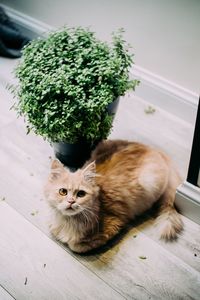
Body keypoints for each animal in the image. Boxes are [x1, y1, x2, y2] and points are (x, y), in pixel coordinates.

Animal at [44, 139, 184, 252]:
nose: (71, 201)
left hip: (150, 182)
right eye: (63, 192)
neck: (67, 221)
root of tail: (153, 149)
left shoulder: (114, 223)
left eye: (81, 194)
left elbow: (76, 246)